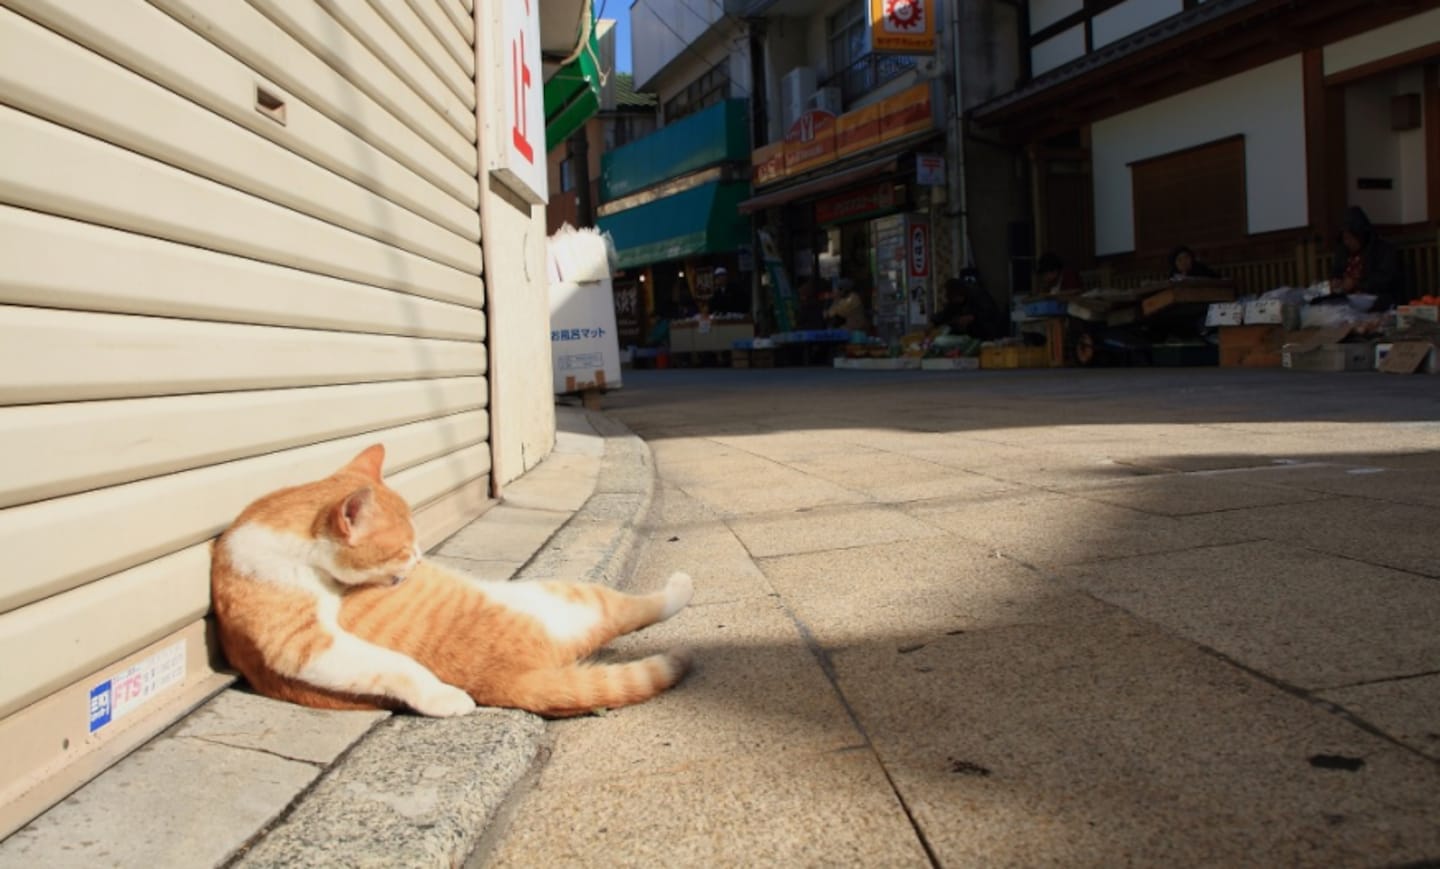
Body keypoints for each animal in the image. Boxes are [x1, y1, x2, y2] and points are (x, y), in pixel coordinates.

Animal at [207, 446, 691, 717]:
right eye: (405, 549)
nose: (421, 560)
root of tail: (512, 679)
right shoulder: (302, 644)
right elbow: (399, 667)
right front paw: (444, 698)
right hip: (561, 595)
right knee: (632, 609)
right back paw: (681, 588)